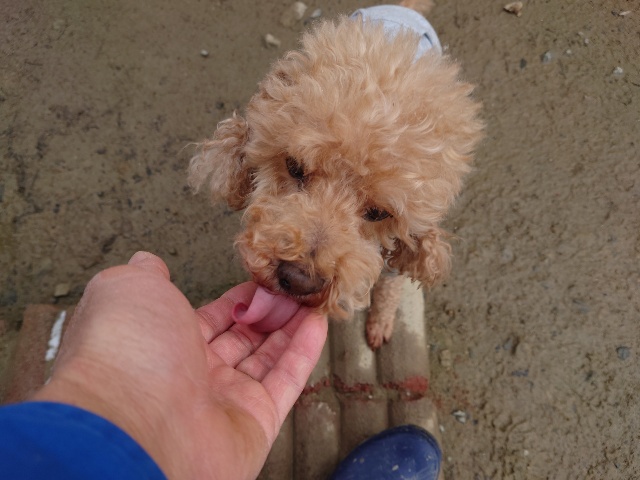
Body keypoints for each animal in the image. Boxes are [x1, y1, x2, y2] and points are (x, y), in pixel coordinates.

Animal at [188, 2, 483, 349]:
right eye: (294, 167)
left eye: (378, 213)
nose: (299, 280)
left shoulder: (397, 257)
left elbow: (389, 290)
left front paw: (380, 324)